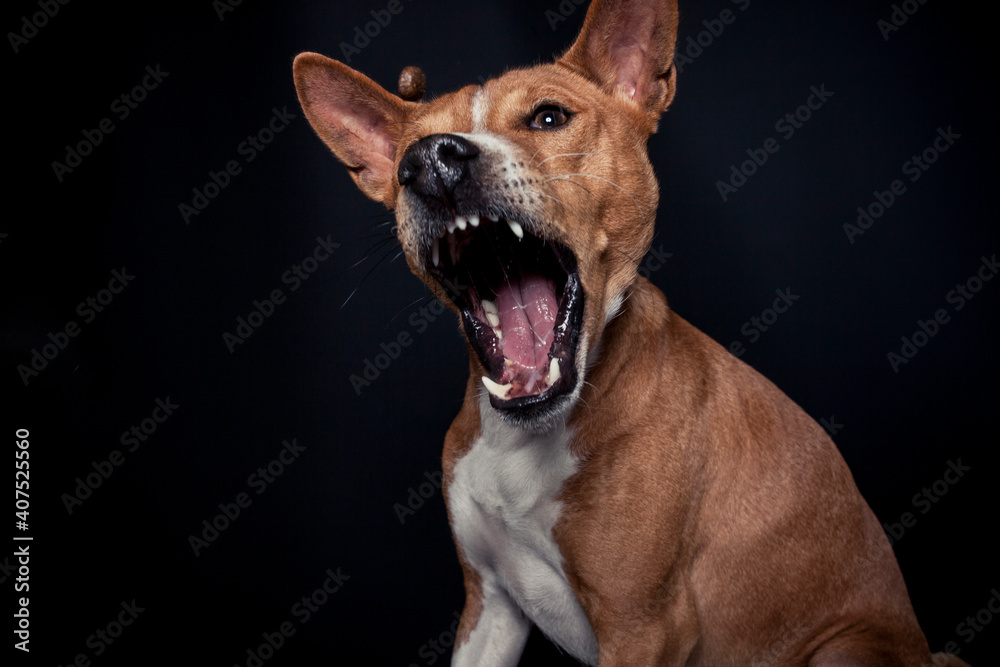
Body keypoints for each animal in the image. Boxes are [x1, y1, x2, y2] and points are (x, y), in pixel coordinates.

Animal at [292, 1, 968, 664]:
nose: (428, 160)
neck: (528, 437)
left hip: (842, 650)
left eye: (548, 117)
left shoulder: (644, 628)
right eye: (409, 151)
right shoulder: (489, 609)